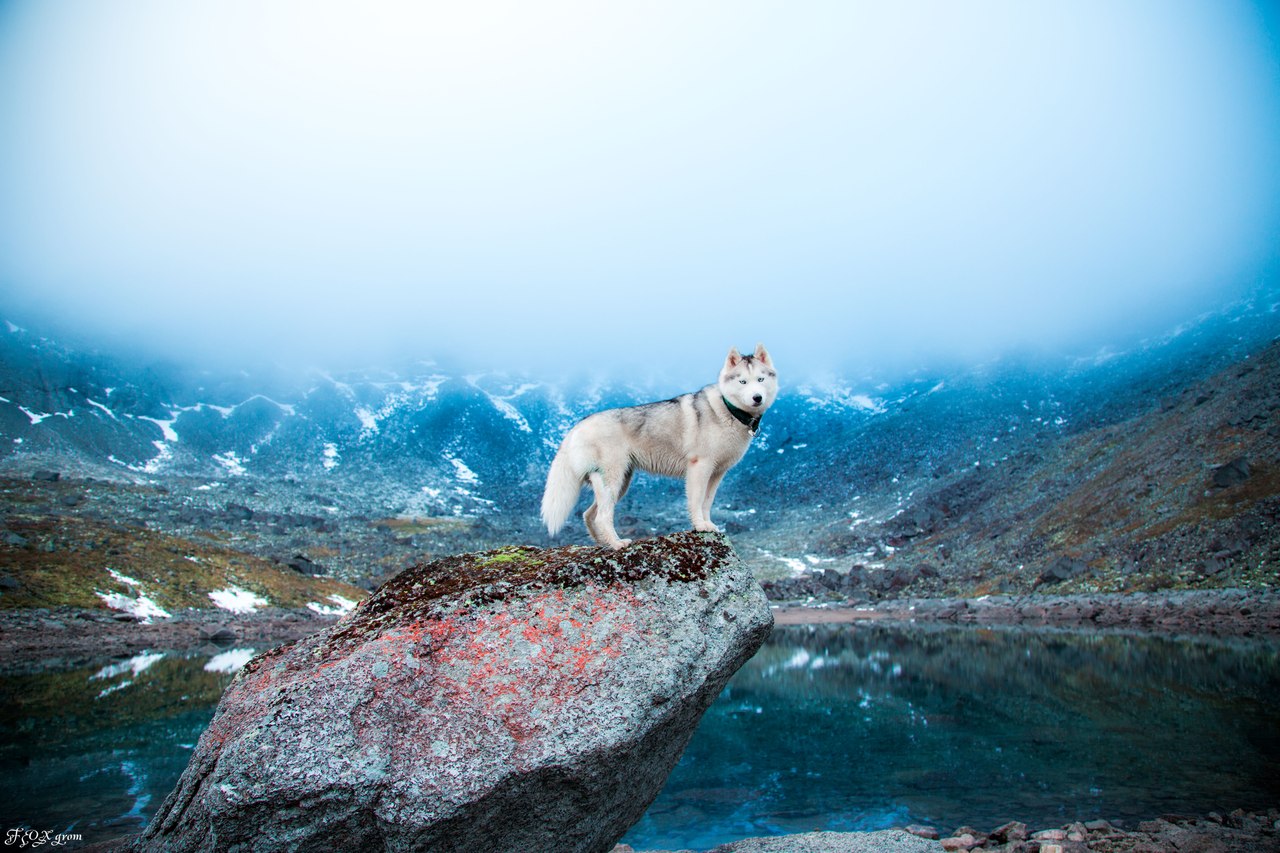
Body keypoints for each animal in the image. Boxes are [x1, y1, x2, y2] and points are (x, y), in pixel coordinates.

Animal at [542, 343, 778, 548]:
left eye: (760, 379)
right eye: (742, 382)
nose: (757, 397)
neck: (729, 411)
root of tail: (579, 424)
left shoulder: (717, 473)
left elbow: (707, 502)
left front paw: (709, 524)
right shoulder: (699, 467)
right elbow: (696, 501)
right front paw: (700, 525)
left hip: (620, 483)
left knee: (588, 514)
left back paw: (603, 544)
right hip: (613, 480)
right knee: (601, 516)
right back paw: (617, 544)